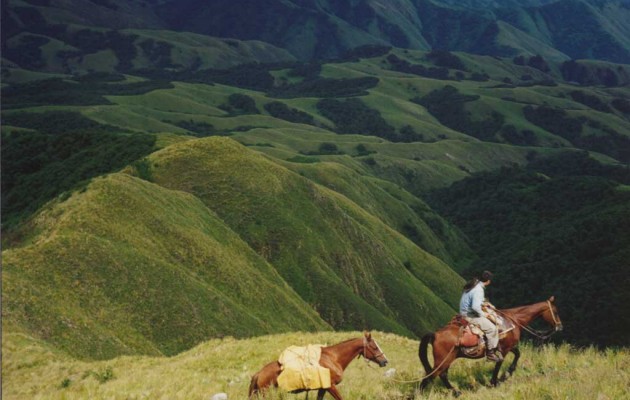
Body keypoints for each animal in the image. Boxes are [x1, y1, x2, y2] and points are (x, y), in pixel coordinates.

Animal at [248, 332, 388, 398]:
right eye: (374, 347)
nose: (385, 361)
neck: (333, 358)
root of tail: (259, 373)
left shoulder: (323, 388)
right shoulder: (331, 387)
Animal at [420, 296, 564, 396]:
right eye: (556, 312)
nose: (560, 326)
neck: (514, 320)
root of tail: (435, 334)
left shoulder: (509, 346)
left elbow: (517, 354)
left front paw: (507, 374)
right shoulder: (504, 349)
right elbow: (499, 363)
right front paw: (495, 381)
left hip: (447, 359)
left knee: (442, 375)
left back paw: (456, 392)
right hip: (444, 360)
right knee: (432, 376)